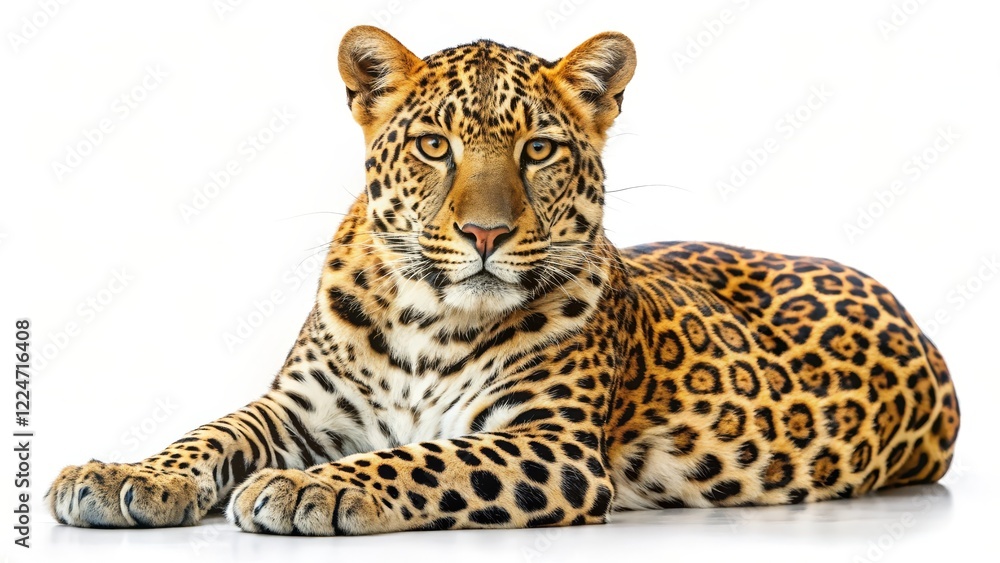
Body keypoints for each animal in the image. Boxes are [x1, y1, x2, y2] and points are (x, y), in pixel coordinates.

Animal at [47, 26, 960, 535]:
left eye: (539, 150)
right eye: (434, 146)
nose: (485, 233)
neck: (426, 316)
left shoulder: (551, 441)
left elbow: (421, 458)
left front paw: (309, 487)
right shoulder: (296, 407)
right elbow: (210, 431)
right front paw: (123, 475)